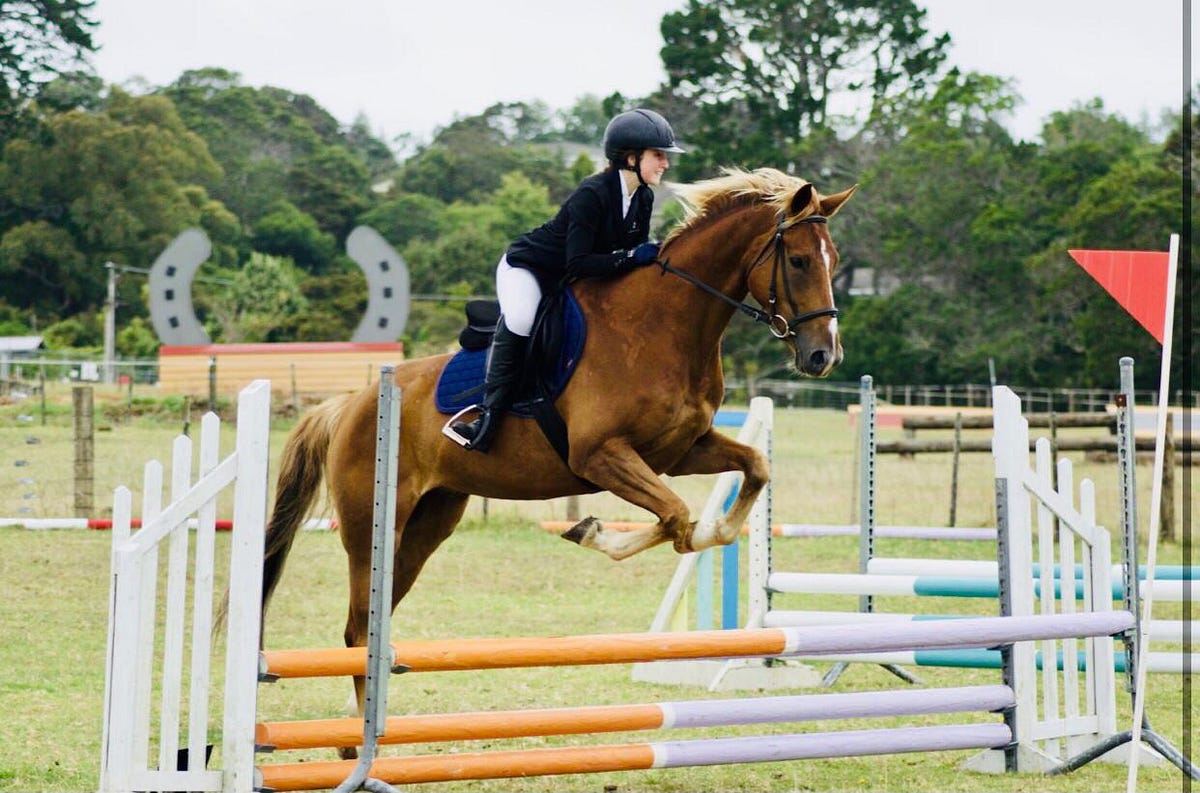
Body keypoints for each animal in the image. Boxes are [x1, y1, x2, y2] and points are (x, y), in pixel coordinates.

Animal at [259, 167, 856, 751]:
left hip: (428, 523)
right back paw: (357, 743)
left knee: (374, 620)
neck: (663, 327)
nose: (823, 356)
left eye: (835, 261)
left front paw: (682, 534)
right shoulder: (600, 456)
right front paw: (593, 532)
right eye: (799, 260)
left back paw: (359, 733)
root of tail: (348, 405)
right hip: (370, 527)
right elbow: (674, 515)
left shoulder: (682, 450)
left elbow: (750, 472)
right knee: (357, 629)